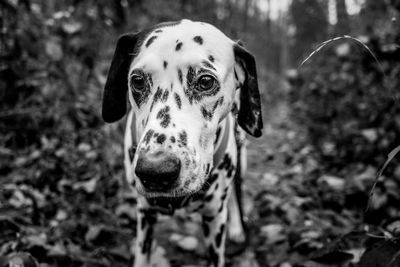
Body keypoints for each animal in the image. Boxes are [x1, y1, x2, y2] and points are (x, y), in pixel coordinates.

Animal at [101, 19, 262, 267]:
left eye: (205, 81)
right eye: (137, 80)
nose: (156, 171)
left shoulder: (214, 219)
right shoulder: (145, 214)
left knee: (236, 194)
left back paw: (237, 227)